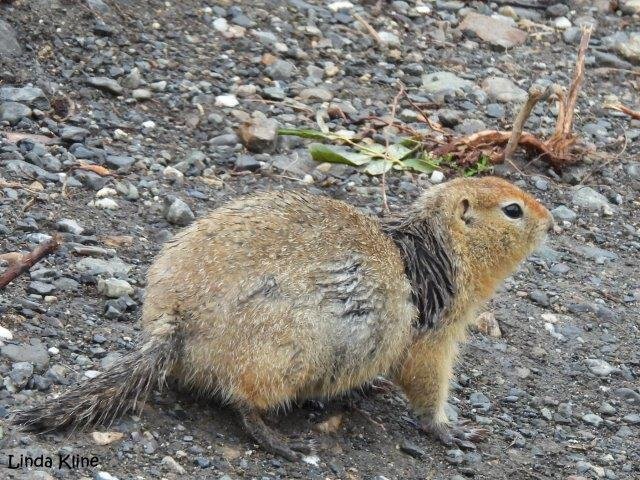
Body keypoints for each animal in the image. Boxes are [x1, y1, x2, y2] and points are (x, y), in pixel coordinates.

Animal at [13, 175, 556, 458]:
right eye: (512, 210)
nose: (552, 220)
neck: (435, 245)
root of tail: (170, 320)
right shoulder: (434, 334)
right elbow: (427, 381)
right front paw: (449, 429)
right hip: (281, 353)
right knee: (242, 399)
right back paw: (274, 438)